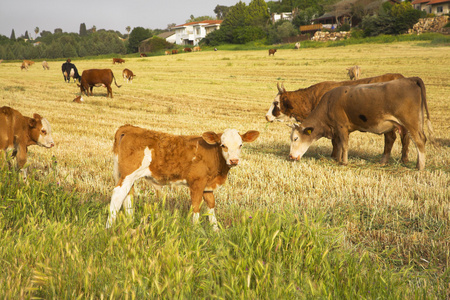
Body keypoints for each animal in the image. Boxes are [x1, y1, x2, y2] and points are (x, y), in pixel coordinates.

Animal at [105, 124, 258, 230]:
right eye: (223, 145)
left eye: (240, 145)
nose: (234, 160)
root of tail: (129, 127)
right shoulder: (197, 182)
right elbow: (196, 206)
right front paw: (196, 229)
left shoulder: (208, 185)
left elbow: (211, 205)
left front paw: (216, 230)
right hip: (128, 174)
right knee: (118, 194)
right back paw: (109, 227)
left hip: (127, 176)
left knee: (127, 195)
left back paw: (129, 221)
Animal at [266, 74, 410, 165]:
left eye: (275, 103)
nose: (266, 116)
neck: (313, 98)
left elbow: (336, 143)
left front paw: (334, 157)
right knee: (405, 139)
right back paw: (404, 159)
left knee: (390, 139)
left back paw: (384, 160)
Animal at [288, 77, 432, 171]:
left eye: (295, 138)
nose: (290, 156)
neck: (329, 103)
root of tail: (410, 80)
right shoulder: (337, 130)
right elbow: (338, 145)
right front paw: (338, 159)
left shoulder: (342, 127)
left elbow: (344, 145)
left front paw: (344, 162)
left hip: (411, 123)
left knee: (419, 141)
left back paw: (420, 167)